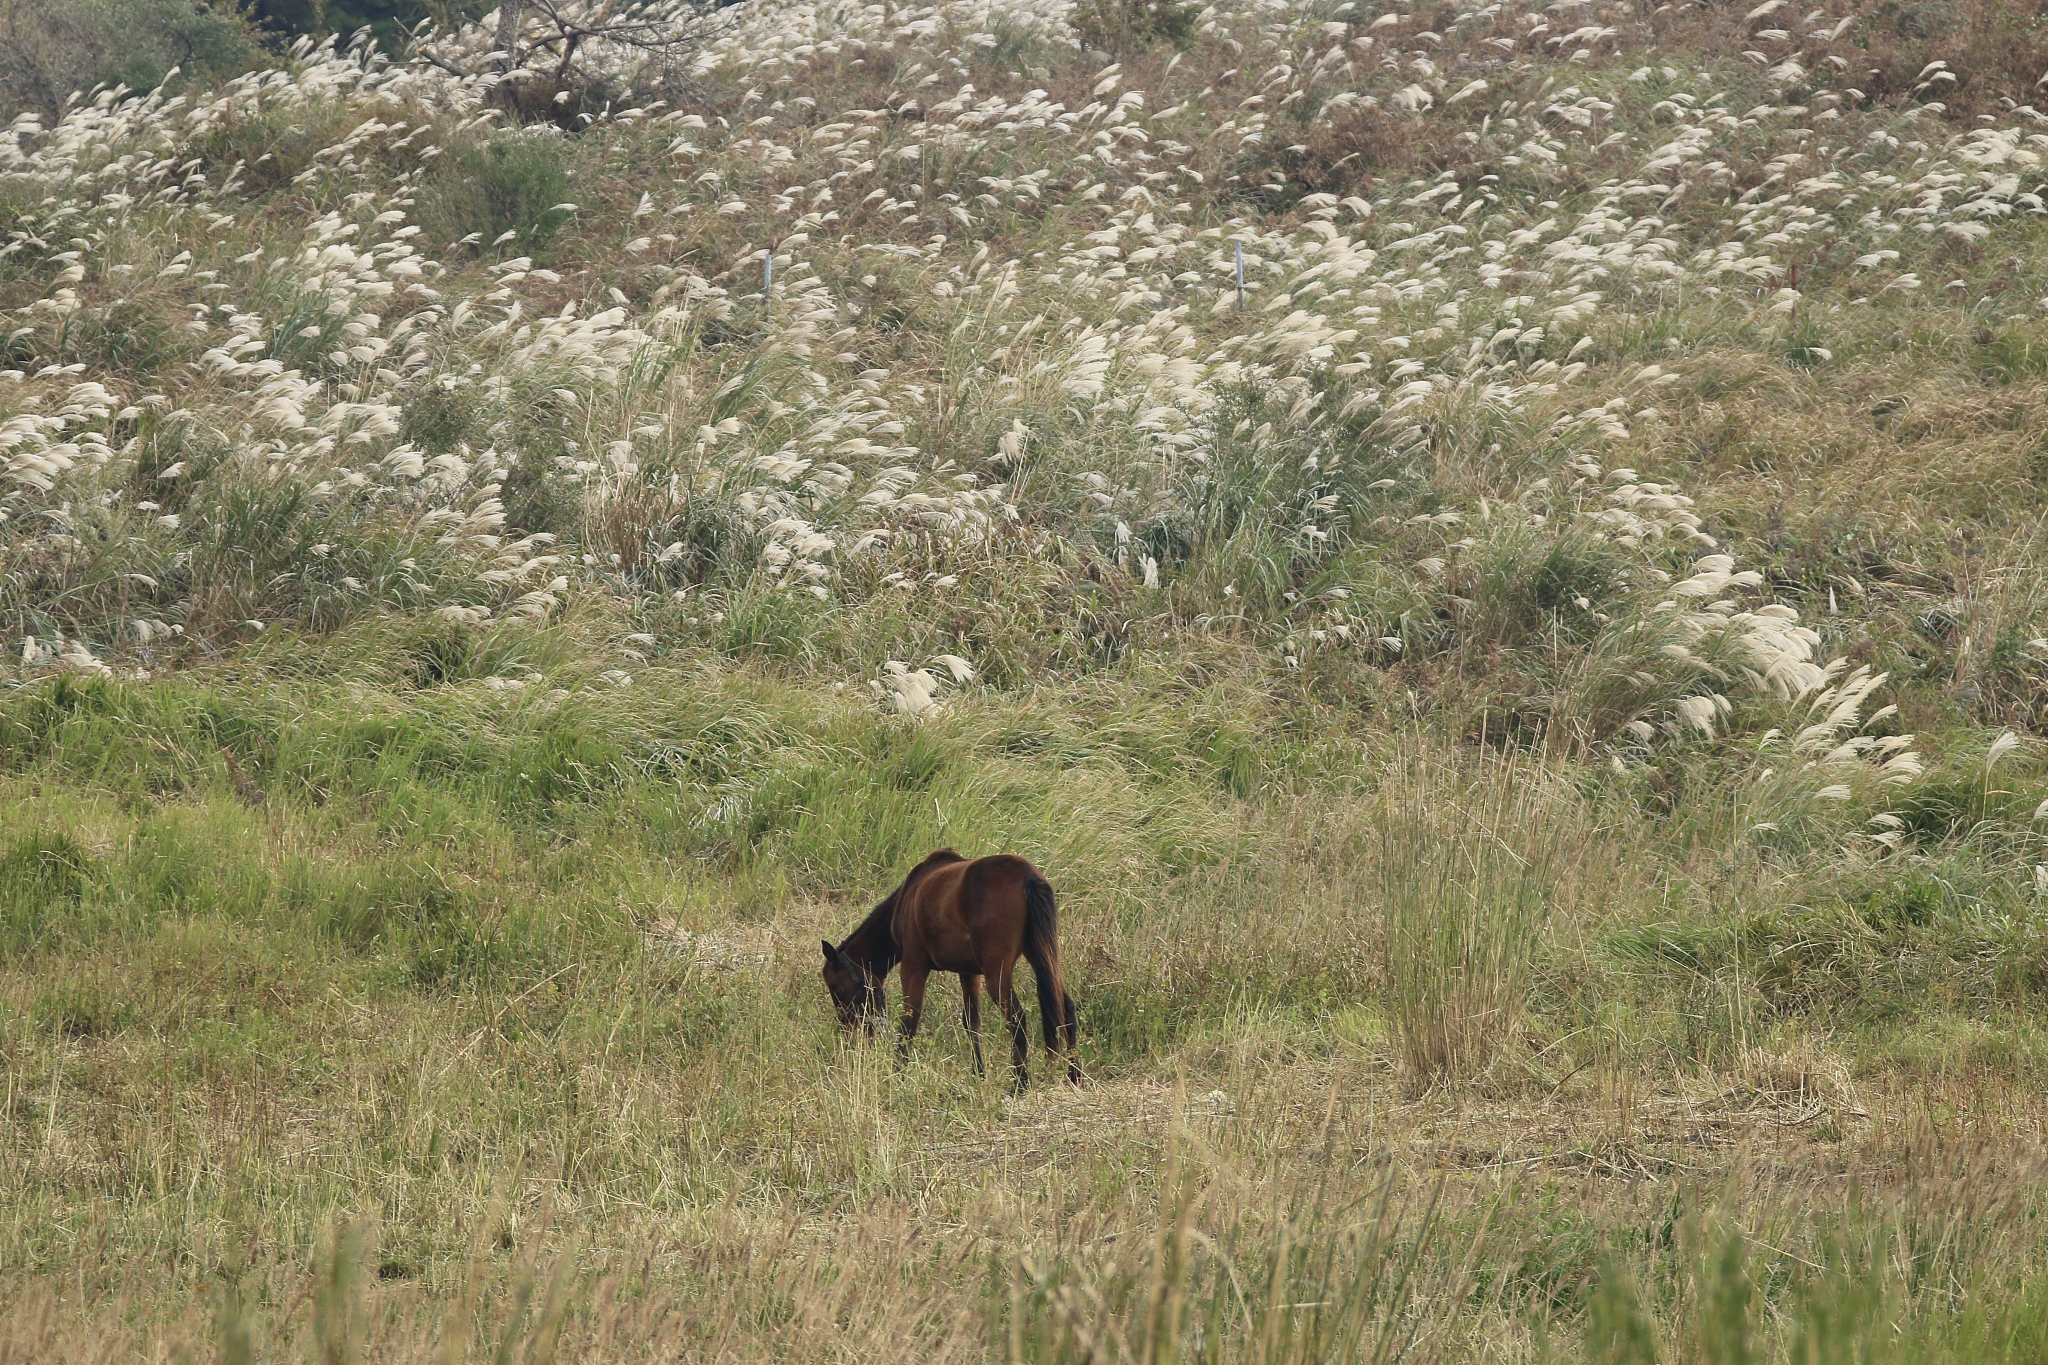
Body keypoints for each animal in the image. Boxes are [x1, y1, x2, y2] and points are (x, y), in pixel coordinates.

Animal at [821, 849, 1080, 1092]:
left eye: (836, 989)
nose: (849, 1034)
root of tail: (1028, 876)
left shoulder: (914, 966)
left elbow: (909, 1021)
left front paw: (897, 1074)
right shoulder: (969, 973)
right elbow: (971, 1022)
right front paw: (978, 1073)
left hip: (997, 975)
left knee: (1016, 1019)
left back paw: (1020, 1083)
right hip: (1042, 957)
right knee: (1066, 1007)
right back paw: (1074, 1075)